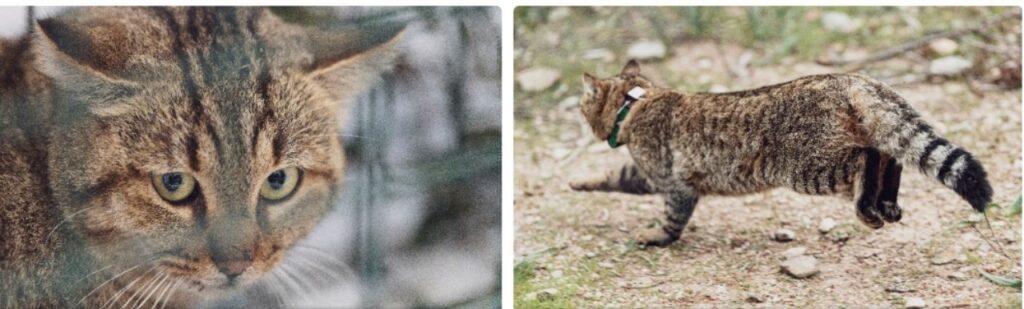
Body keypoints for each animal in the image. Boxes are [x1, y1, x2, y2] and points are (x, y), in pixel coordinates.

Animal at [569, 60, 991, 247]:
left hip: (806, 167)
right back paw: (885, 204)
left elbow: (672, 219)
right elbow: (615, 176)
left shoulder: (672, 182)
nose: (577, 108)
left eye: (582, 104)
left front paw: (657, 236)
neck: (637, 101)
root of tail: (852, 78)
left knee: (867, 158)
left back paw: (867, 207)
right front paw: (579, 182)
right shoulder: (649, 175)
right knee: (891, 155)